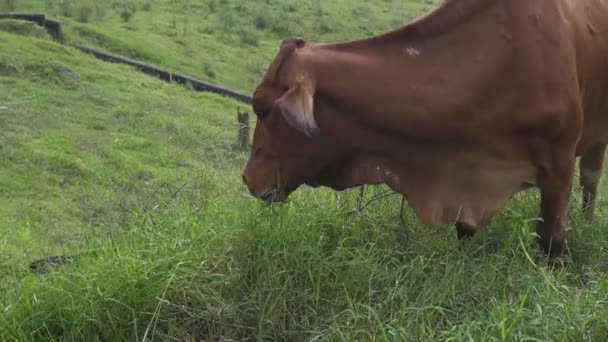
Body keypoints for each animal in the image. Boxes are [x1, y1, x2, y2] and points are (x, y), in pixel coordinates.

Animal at [241, 0, 608, 258]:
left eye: (262, 108)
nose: (247, 178)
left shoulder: (559, 164)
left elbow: (551, 242)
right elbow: (464, 231)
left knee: (590, 183)